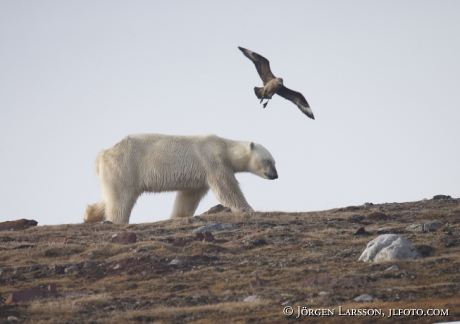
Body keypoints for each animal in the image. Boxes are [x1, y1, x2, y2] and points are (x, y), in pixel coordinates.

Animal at [85, 133, 278, 224]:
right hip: (125, 166)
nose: (275, 175)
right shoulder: (212, 160)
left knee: (109, 196)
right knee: (121, 198)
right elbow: (227, 188)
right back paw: (117, 221)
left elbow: (188, 196)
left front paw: (179, 215)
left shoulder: (200, 175)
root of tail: (102, 155)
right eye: (268, 160)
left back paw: (89, 215)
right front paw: (247, 209)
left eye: (275, 161)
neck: (224, 147)